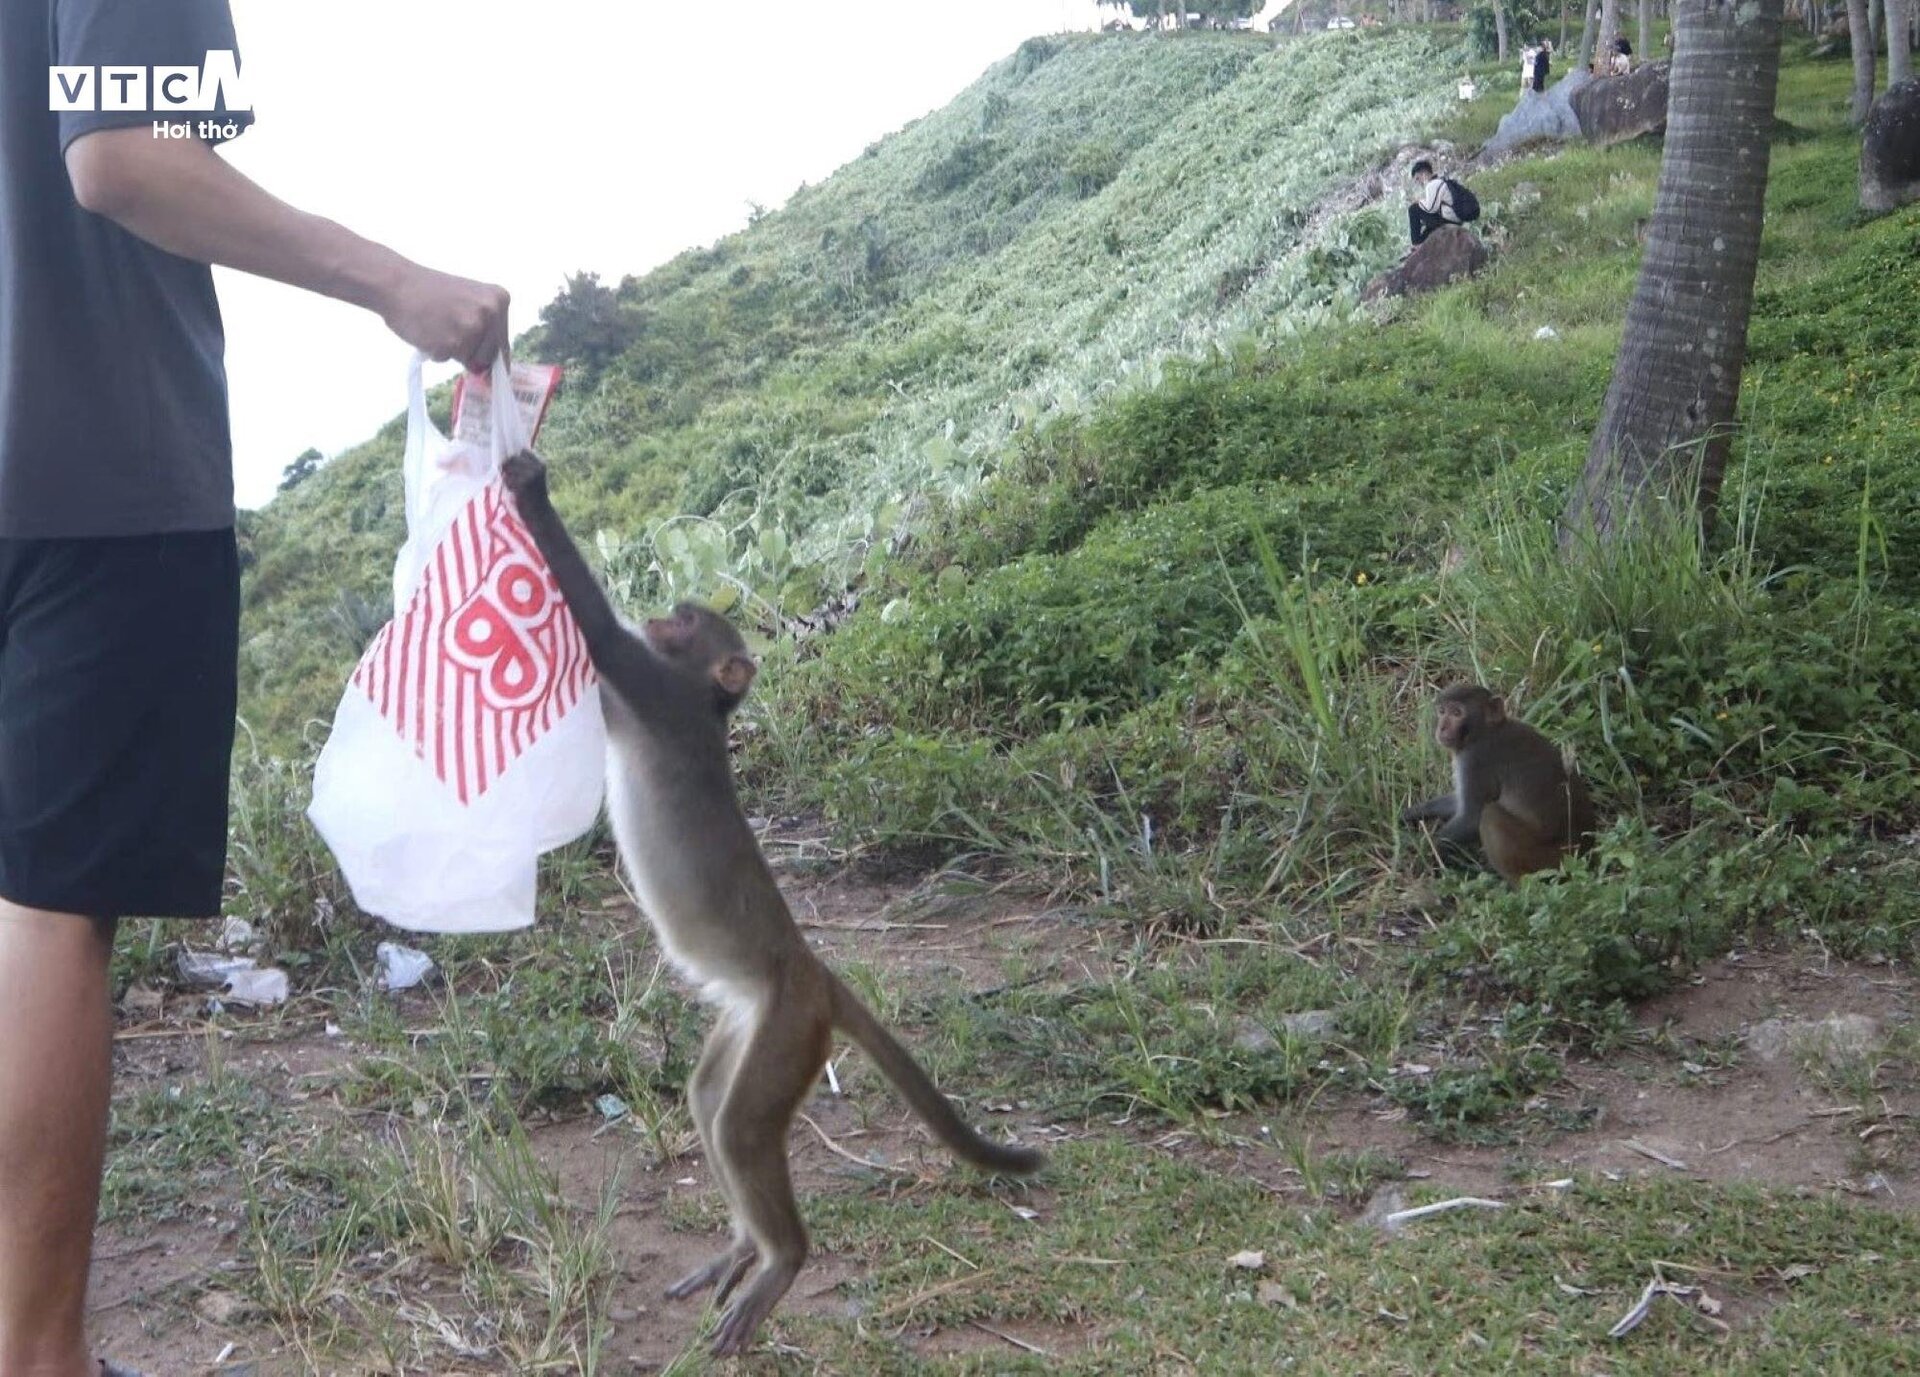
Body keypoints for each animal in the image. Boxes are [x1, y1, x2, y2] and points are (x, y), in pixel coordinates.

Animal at [495, 449, 1036, 1352]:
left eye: (685, 618)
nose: (662, 610)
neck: (701, 701)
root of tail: (814, 970)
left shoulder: (655, 690)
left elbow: (599, 635)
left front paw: (530, 491)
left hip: (788, 1027)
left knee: (743, 1126)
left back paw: (783, 1258)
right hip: (755, 1017)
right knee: (711, 1100)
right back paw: (744, 1246)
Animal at [1405, 679, 1597, 879]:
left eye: (1457, 713)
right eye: (1442, 711)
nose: (1442, 727)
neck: (1484, 731)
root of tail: (1584, 852)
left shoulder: (1475, 760)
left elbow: (1471, 818)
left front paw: (1424, 853)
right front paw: (1411, 813)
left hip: (1547, 859)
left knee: (1490, 814)